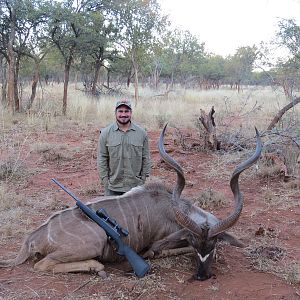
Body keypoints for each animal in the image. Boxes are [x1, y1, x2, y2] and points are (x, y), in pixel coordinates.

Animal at [0, 123, 262, 280]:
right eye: (195, 245)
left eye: (213, 246)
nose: (201, 276)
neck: (173, 210)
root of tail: (32, 238)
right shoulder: (160, 244)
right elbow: (157, 252)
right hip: (94, 241)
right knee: (42, 265)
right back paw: (96, 267)